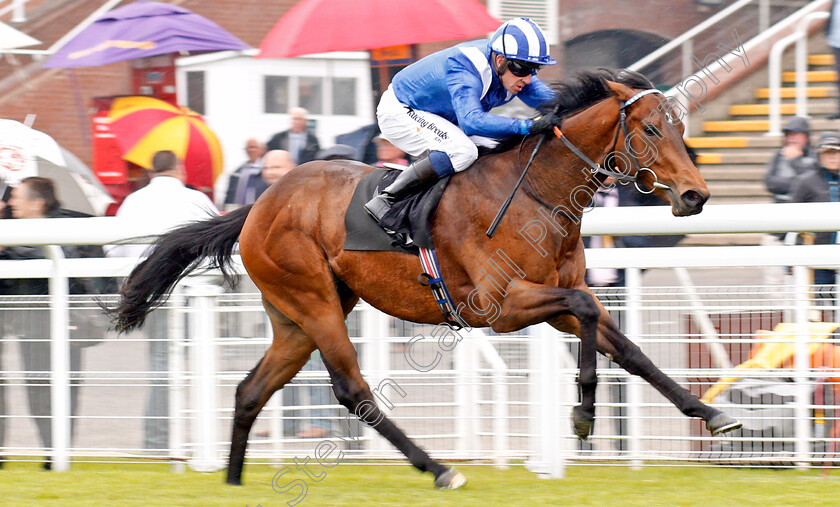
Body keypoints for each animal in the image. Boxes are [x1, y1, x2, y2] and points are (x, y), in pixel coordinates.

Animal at [110, 69, 740, 490]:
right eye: (652, 129)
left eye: (680, 128)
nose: (696, 196)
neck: (538, 195)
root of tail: (259, 204)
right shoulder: (499, 306)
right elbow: (588, 315)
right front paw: (583, 414)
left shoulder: (554, 299)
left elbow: (628, 348)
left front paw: (712, 414)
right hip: (314, 302)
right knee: (352, 390)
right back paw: (437, 468)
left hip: (295, 319)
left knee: (250, 389)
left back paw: (235, 481)